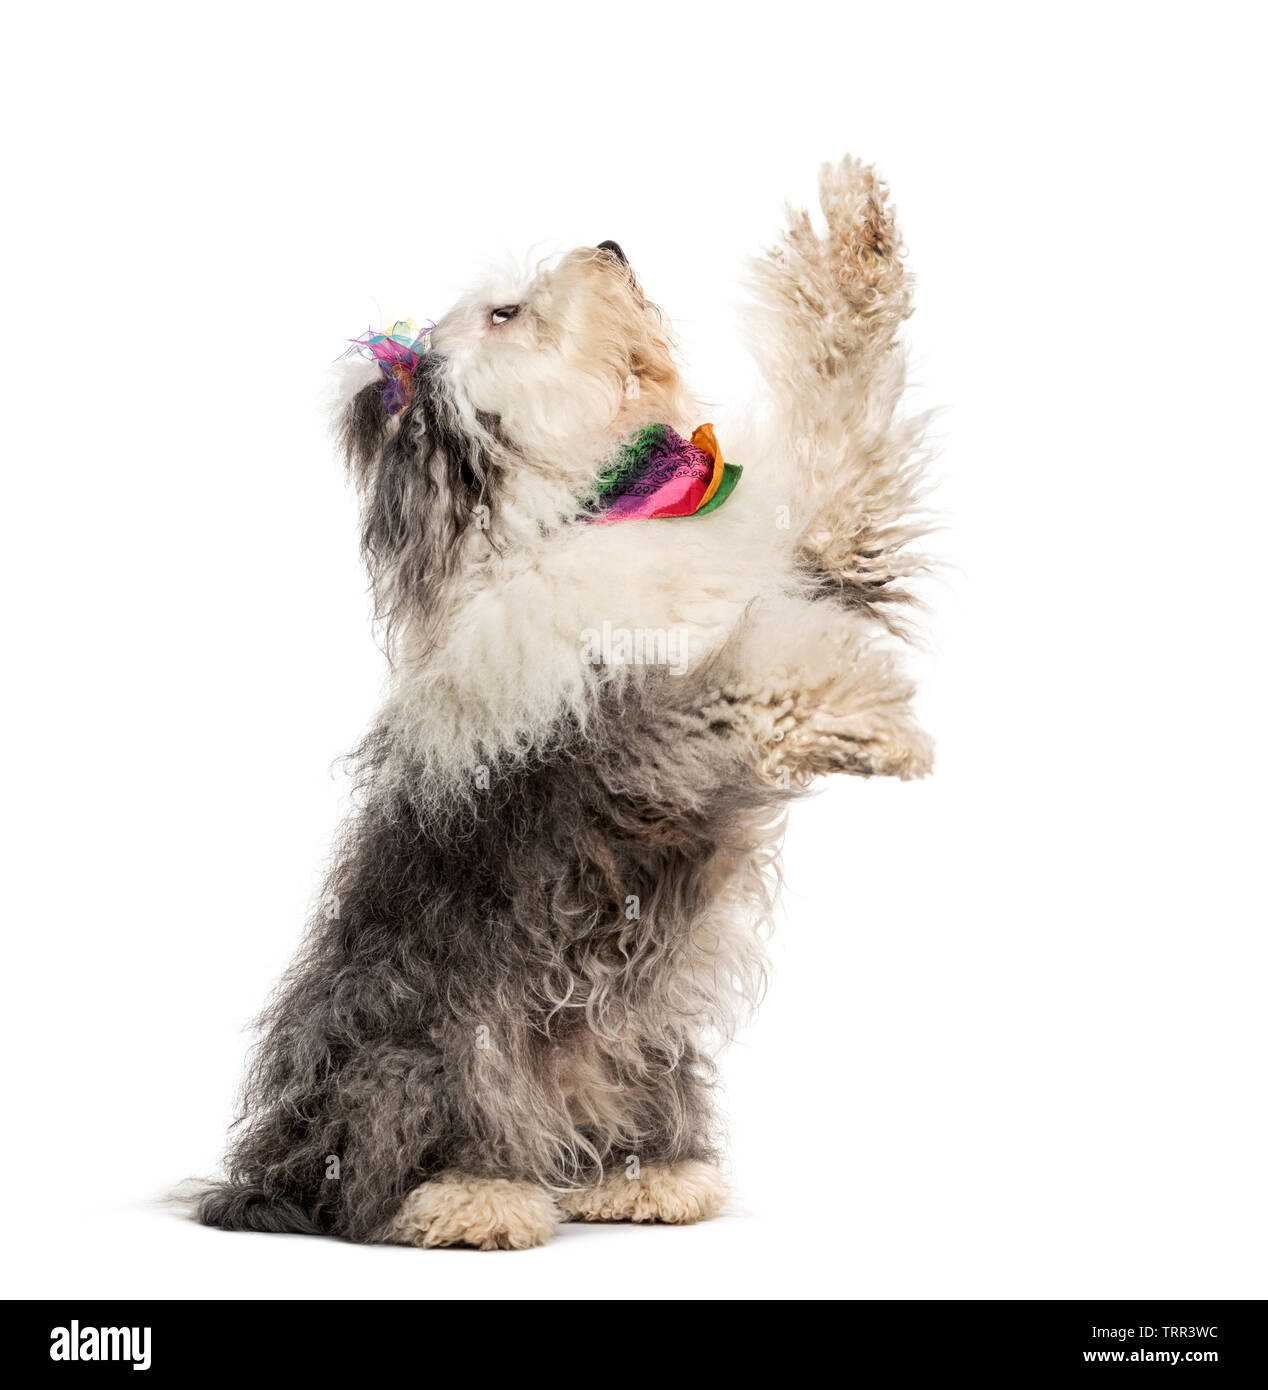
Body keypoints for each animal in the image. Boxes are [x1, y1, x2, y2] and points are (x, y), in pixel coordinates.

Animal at [196, 157, 928, 1256]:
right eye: (505, 313)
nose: (610, 246)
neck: (598, 508)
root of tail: (268, 1162)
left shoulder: (818, 554)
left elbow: (844, 426)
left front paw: (857, 234)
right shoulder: (637, 727)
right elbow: (741, 678)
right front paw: (877, 724)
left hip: (644, 1038)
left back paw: (648, 1176)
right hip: (431, 1045)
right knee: (379, 1174)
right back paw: (471, 1199)